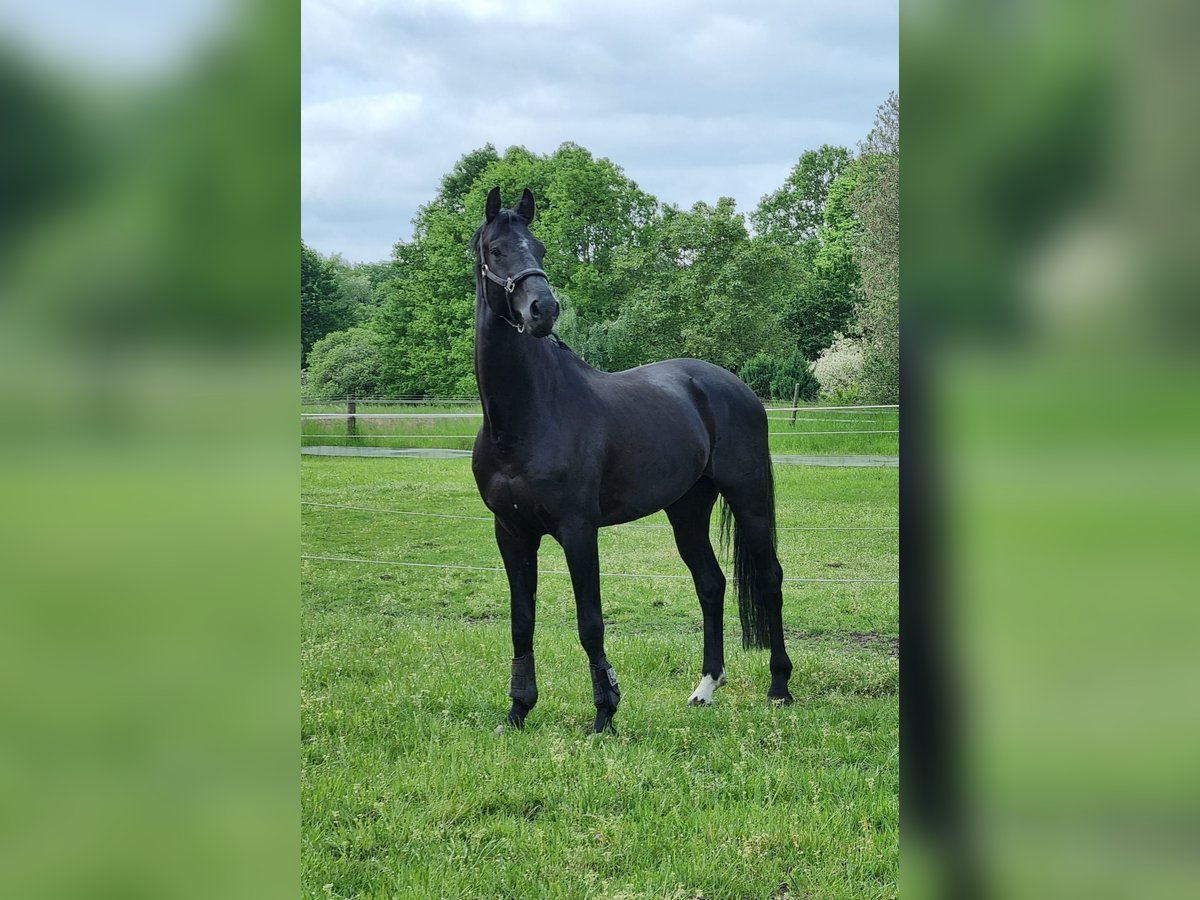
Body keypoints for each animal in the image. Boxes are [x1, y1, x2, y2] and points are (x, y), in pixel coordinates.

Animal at [472, 188, 792, 734]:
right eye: (496, 250)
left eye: (539, 247)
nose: (543, 309)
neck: (524, 417)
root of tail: (734, 386)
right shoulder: (511, 532)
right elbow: (521, 622)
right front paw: (517, 711)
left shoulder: (579, 530)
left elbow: (590, 623)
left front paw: (605, 713)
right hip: (687, 508)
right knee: (711, 583)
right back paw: (705, 688)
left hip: (748, 497)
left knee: (770, 579)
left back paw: (779, 688)